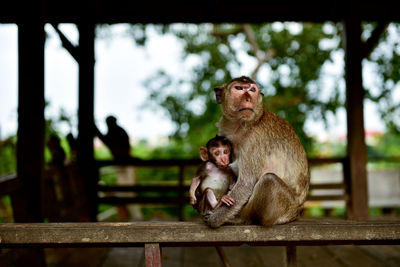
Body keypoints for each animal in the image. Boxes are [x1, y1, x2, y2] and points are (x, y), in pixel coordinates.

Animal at [205, 76, 310, 229]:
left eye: (252, 89)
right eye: (239, 88)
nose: (248, 98)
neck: (242, 125)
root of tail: (298, 212)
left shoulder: (254, 139)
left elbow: (246, 182)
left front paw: (214, 219)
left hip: (285, 210)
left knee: (269, 180)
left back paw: (241, 219)